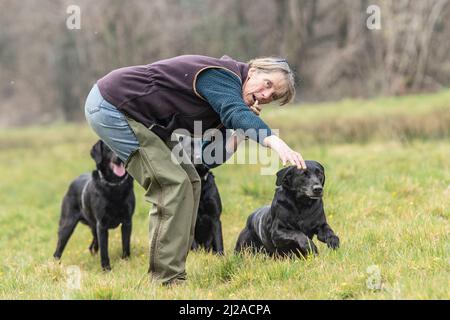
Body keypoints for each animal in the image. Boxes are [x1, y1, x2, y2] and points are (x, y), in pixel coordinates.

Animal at [53, 140, 134, 270]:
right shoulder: (102, 225)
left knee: (92, 246)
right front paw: (106, 269)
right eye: (108, 147)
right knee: (58, 250)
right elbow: (104, 250)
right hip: (67, 225)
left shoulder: (127, 221)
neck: (114, 185)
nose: (119, 158)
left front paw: (126, 262)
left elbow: (125, 244)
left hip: (93, 227)